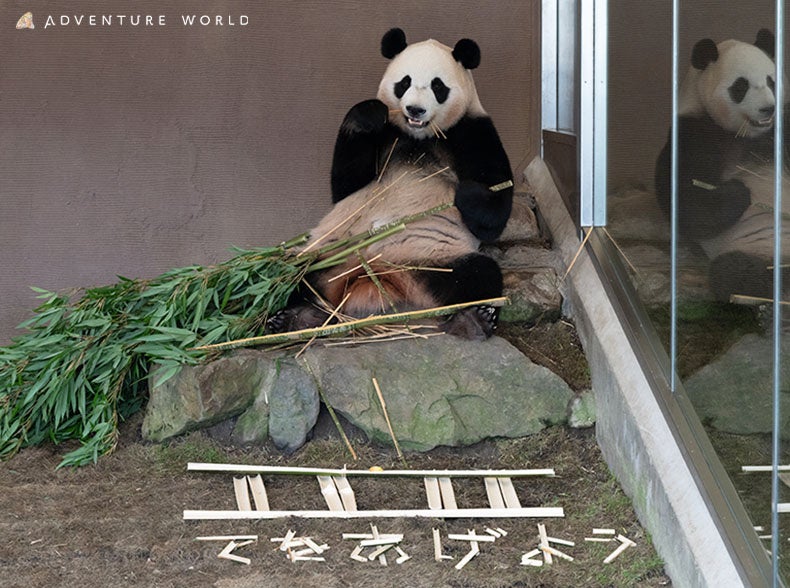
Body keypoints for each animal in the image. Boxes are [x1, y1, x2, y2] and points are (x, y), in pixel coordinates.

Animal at [272, 28, 516, 340]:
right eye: (405, 82)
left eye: (438, 86)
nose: (415, 109)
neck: (419, 136)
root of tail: (376, 277)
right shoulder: (388, 134)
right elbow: (345, 187)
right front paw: (368, 114)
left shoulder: (472, 130)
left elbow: (493, 213)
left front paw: (469, 192)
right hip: (327, 253)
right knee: (284, 274)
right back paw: (294, 317)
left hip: (431, 260)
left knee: (478, 275)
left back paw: (473, 319)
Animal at [656, 29, 790, 300]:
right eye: (741, 86)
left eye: (771, 81)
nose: (768, 109)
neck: (745, 135)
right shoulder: (694, 133)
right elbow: (686, 198)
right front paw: (740, 191)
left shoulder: (782, 128)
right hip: (760, 249)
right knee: (738, 274)